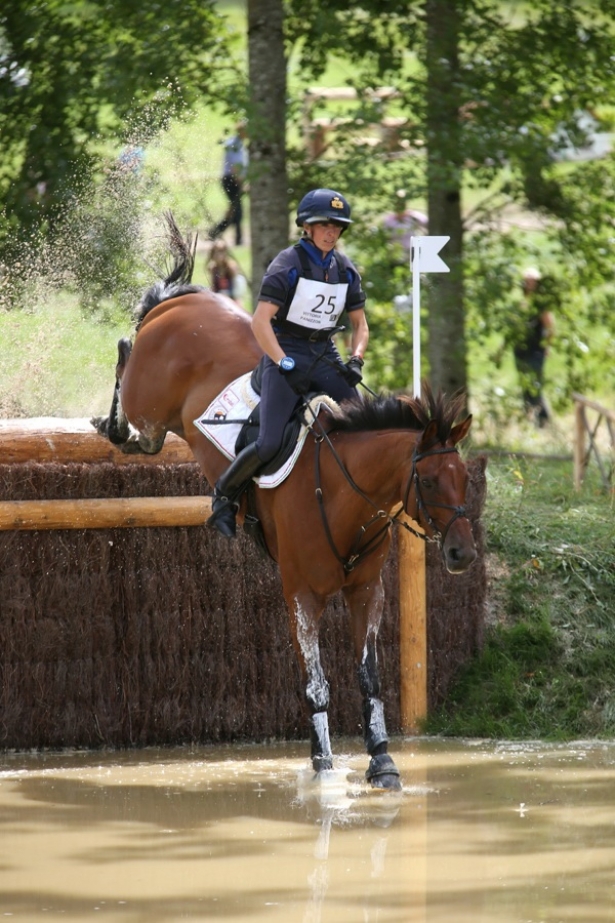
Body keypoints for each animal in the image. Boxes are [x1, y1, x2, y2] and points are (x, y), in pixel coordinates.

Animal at [95, 213, 482, 792]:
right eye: (431, 481)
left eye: (463, 479)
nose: (462, 554)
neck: (345, 495)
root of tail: (180, 303)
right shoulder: (301, 594)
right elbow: (316, 682)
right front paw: (323, 767)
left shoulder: (366, 591)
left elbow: (369, 677)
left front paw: (382, 762)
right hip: (149, 406)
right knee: (126, 362)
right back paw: (111, 421)